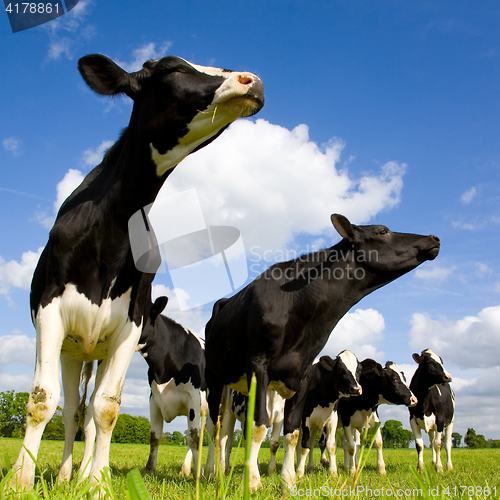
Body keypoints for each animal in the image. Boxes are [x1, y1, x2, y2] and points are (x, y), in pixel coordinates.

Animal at [9, 52, 264, 490]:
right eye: (173, 69)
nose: (253, 80)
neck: (111, 226)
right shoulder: (50, 312)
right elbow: (43, 399)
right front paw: (21, 479)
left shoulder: (131, 325)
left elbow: (108, 407)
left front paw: (97, 481)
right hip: (74, 349)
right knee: (73, 410)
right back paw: (65, 474)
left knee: (91, 412)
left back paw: (82, 473)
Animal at [203, 213, 438, 490]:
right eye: (383, 231)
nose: (434, 238)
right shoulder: (258, 366)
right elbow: (258, 425)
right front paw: (252, 483)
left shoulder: (301, 376)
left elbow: (292, 433)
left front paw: (288, 481)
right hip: (214, 378)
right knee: (215, 428)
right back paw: (210, 471)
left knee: (224, 430)